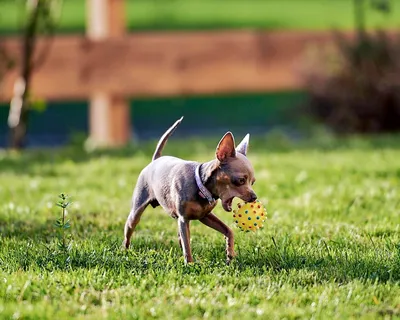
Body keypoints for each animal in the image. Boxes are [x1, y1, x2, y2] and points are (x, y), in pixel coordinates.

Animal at [123, 116, 258, 264]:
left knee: (180, 237)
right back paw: (125, 251)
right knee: (129, 230)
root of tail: (155, 160)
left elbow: (228, 230)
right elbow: (187, 245)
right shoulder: (184, 219)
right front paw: (190, 264)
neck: (200, 186)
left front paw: (230, 254)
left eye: (253, 182)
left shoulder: (205, 216)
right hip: (136, 212)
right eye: (240, 181)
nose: (254, 197)